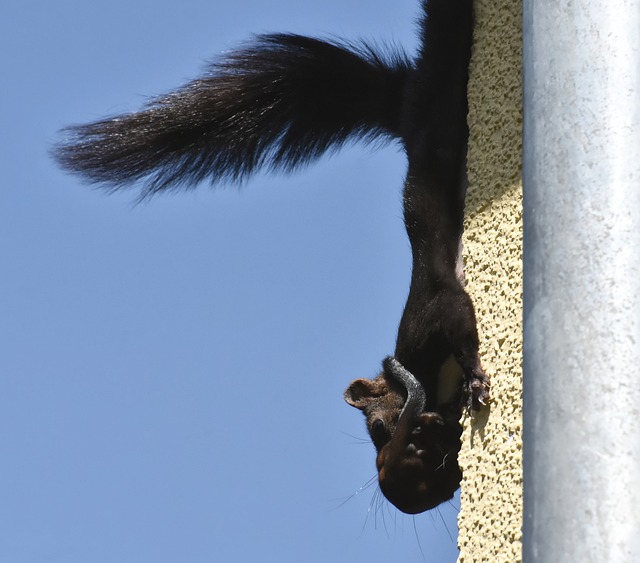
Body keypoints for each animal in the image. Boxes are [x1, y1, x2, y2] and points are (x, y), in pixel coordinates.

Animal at [53, 0, 490, 512]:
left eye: (380, 425)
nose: (394, 476)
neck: (417, 374)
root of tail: (402, 100)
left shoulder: (433, 312)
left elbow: (458, 320)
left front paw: (475, 378)